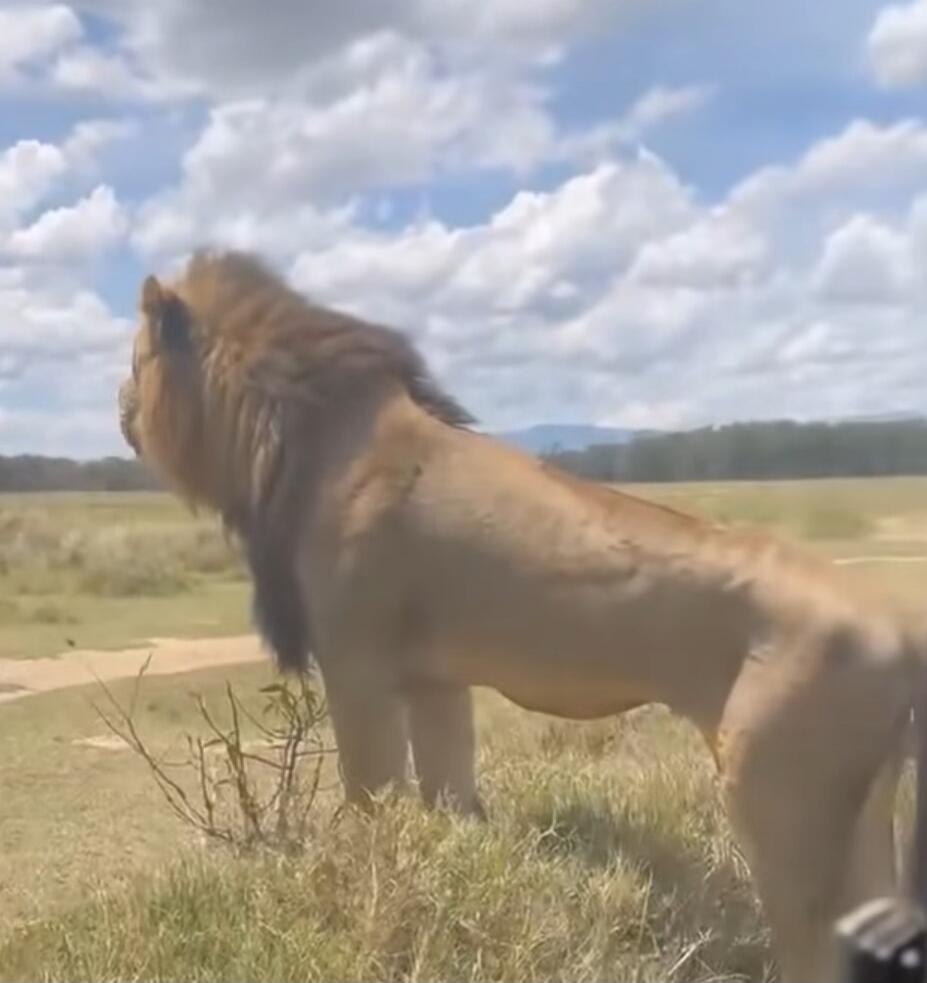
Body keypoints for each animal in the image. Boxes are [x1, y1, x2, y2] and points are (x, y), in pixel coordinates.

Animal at [118, 248, 924, 982]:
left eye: (133, 355)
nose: (119, 403)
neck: (294, 438)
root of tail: (901, 633)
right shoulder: (434, 682)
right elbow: (449, 802)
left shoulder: (357, 666)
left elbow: (371, 804)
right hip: (857, 809)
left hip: (779, 798)